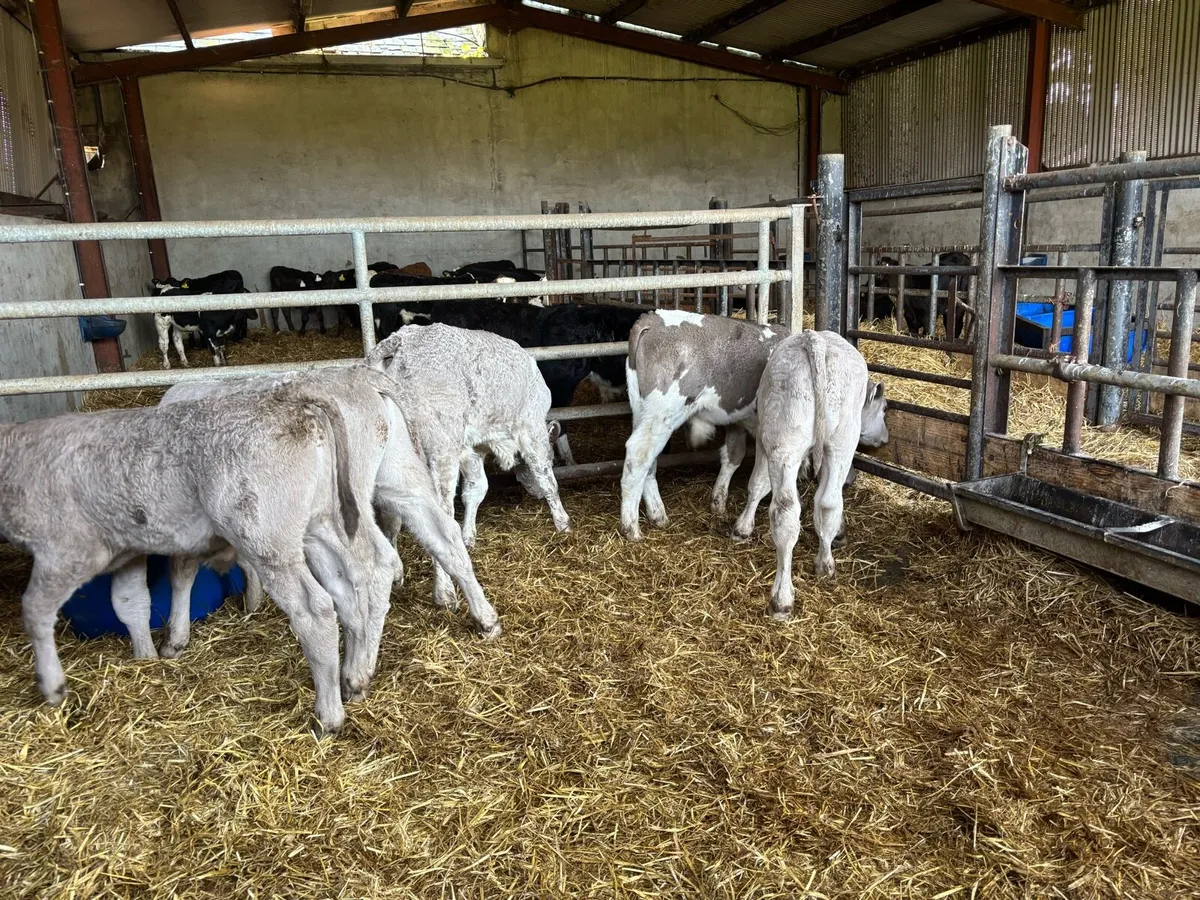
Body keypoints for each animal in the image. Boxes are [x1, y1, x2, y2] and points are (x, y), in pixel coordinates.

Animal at [366, 324, 570, 609]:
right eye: (552, 457)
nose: (535, 495)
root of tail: (401, 342)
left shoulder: (470, 448)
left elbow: (476, 489)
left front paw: (469, 535)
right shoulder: (531, 429)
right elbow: (547, 479)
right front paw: (563, 522)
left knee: (389, 516)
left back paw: (395, 573)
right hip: (440, 451)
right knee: (438, 517)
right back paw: (444, 592)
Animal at [619, 310, 789, 540]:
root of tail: (652, 318)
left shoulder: (737, 420)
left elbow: (733, 455)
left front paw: (718, 502)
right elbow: (764, 480)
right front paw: (744, 527)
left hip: (642, 410)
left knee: (648, 461)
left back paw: (657, 514)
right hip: (662, 412)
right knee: (639, 454)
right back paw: (631, 527)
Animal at [736, 331, 888, 619]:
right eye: (884, 409)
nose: (885, 439)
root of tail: (816, 340)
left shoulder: (765, 439)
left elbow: (758, 484)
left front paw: (742, 527)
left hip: (787, 442)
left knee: (789, 509)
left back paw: (783, 596)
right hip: (841, 442)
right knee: (828, 502)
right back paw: (821, 566)